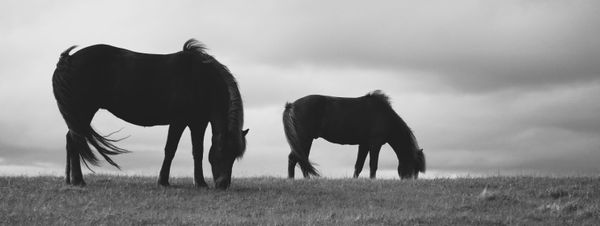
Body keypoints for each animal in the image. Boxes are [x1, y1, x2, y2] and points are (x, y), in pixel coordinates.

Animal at [52, 38, 248, 189]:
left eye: (234, 155)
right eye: (222, 150)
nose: (223, 184)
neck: (200, 79)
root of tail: (68, 59)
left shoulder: (197, 123)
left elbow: (197, 151)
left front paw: (199, 183)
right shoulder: (179, 121)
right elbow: (170, 149)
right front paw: (164, 181)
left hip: (78, 115)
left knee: (71, 139)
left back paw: (70, 180)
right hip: (83, 111)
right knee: (75, 140)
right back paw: (78, 181)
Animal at [284, 90, 424, 180]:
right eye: (414, 166)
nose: (410, 181)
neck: (385, 116)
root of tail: (292, 105)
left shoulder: (364, 144)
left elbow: (359, 166)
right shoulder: (375, 144)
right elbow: (373, 165)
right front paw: (372, 180)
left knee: (300, 159)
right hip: (304, 139)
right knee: (296, 159)